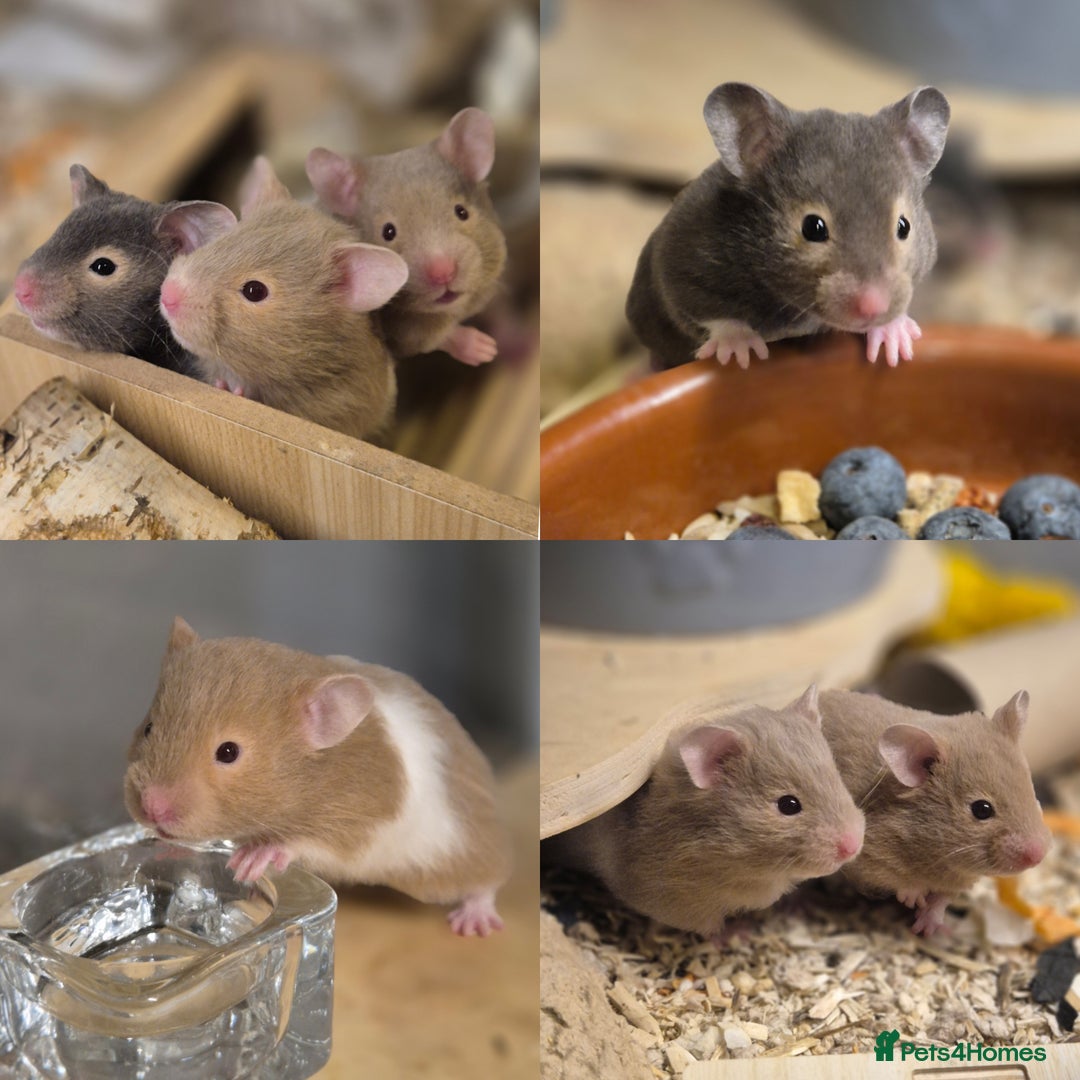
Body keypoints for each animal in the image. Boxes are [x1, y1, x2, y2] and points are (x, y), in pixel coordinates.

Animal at [124, 617, 512, 937]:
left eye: (228, 752)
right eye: (149, 727)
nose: (151, 808)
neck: (315, 778)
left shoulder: (358, 823)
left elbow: (305, 842)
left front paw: (248, 862)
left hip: (455, 861)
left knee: (489, 880)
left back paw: (473, 923)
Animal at [306, 107, 508, 366]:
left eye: (461, 212)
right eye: (388, 232)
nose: (443, 273)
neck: (453, 310)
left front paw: (499, 343)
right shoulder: (405, 334)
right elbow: (444, 338)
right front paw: (487, 350)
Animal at [546, 686, 864, 937]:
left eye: (837, 777)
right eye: (788, 805)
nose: (854, 846)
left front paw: (801, 905)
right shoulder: (676, 902)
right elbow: (712, 928)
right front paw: (741, 933)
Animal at [625, 84, 950, 369]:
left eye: (904, 226)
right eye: (813, 228)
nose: (873, 307)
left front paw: (896, 341)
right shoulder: (681, 265)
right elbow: (711, 312)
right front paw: (742, 354)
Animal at [819, 689, 1051, 936]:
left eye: (1032, 792)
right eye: (981, 809)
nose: (1039, 855)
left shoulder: (958, 879)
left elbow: (941, 900)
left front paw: (929, 928)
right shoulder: (868, 857)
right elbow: (902, 882)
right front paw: (914, 900)